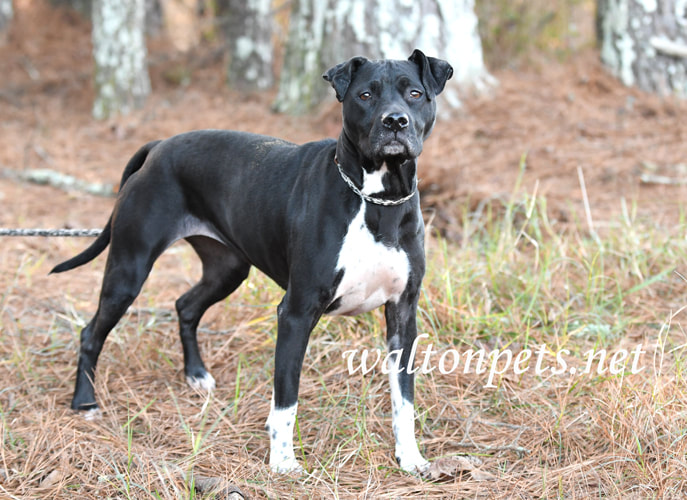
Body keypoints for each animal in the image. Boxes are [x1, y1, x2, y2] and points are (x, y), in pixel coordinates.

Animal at [52, 47, 452, 472]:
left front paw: (410, 457)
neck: (376, 202)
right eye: (365, 95)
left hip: (227, 269)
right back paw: (85, 402)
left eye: (414, 93)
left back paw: (196, 374)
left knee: (186, 305)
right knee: (91, 333)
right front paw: (283, 463)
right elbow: (286, 399)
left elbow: (403, 399)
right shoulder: (296, 313)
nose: (395, 121)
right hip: (128, 270)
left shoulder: (403, 314)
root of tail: (159, 146)